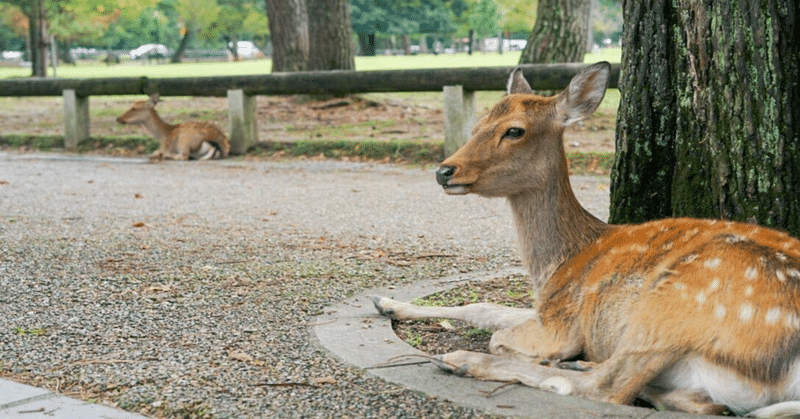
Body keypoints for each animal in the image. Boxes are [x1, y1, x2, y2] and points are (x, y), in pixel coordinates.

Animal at [370, 63, 800, 419]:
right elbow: (485, 308)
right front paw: (385, 302)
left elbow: (499, 337)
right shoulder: (547, 307)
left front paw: (547, 358)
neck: (558, 263)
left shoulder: (563, 318)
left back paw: (465, 360)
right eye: (478, 123)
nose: (444, 170)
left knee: (608, 388)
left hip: (677, 303)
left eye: (515, 130)